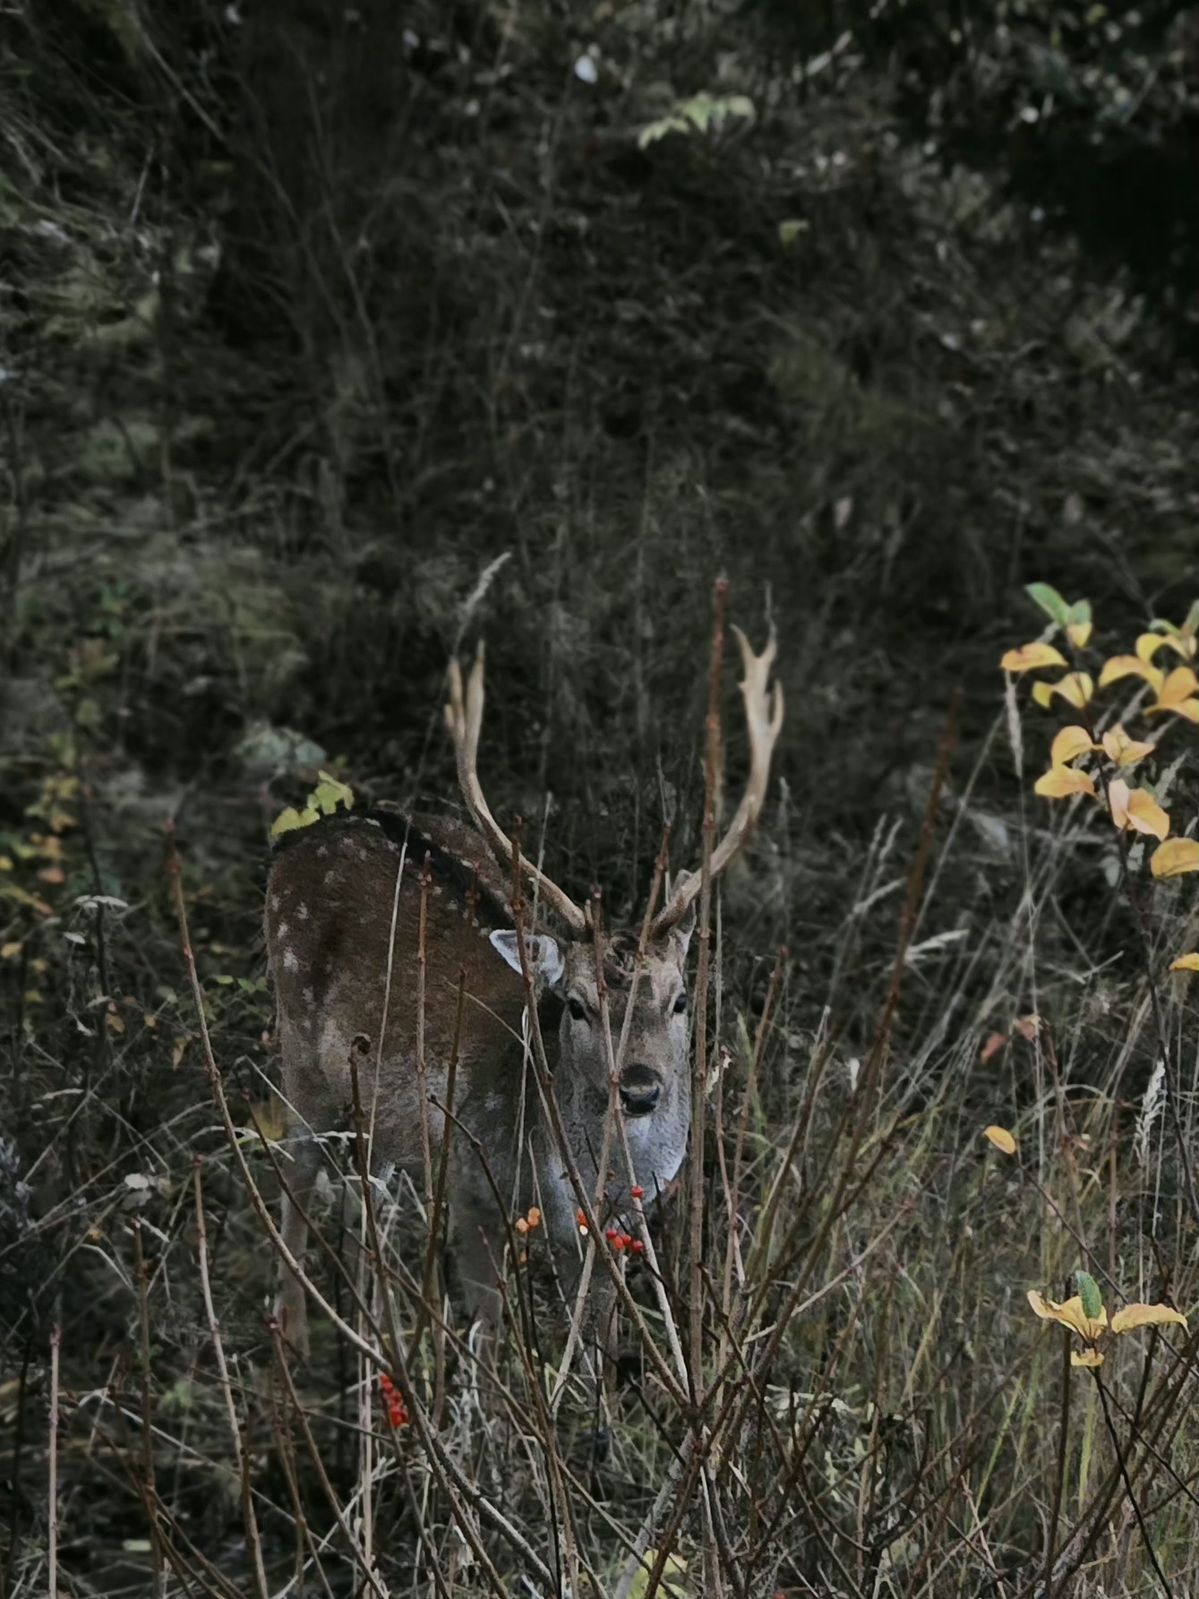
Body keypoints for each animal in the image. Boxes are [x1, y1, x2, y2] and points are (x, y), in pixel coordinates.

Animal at [265, 626, 784, 1374]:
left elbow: (597, 1343)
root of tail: (309, 831)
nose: (640, 1089)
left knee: (367, 1195)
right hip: (297, 1041)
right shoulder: (472, 1183)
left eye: (682, 999)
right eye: (576, 1004)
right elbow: (489, 1330)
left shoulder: (618, 1224)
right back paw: (297, 1342)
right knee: (296, 1174)